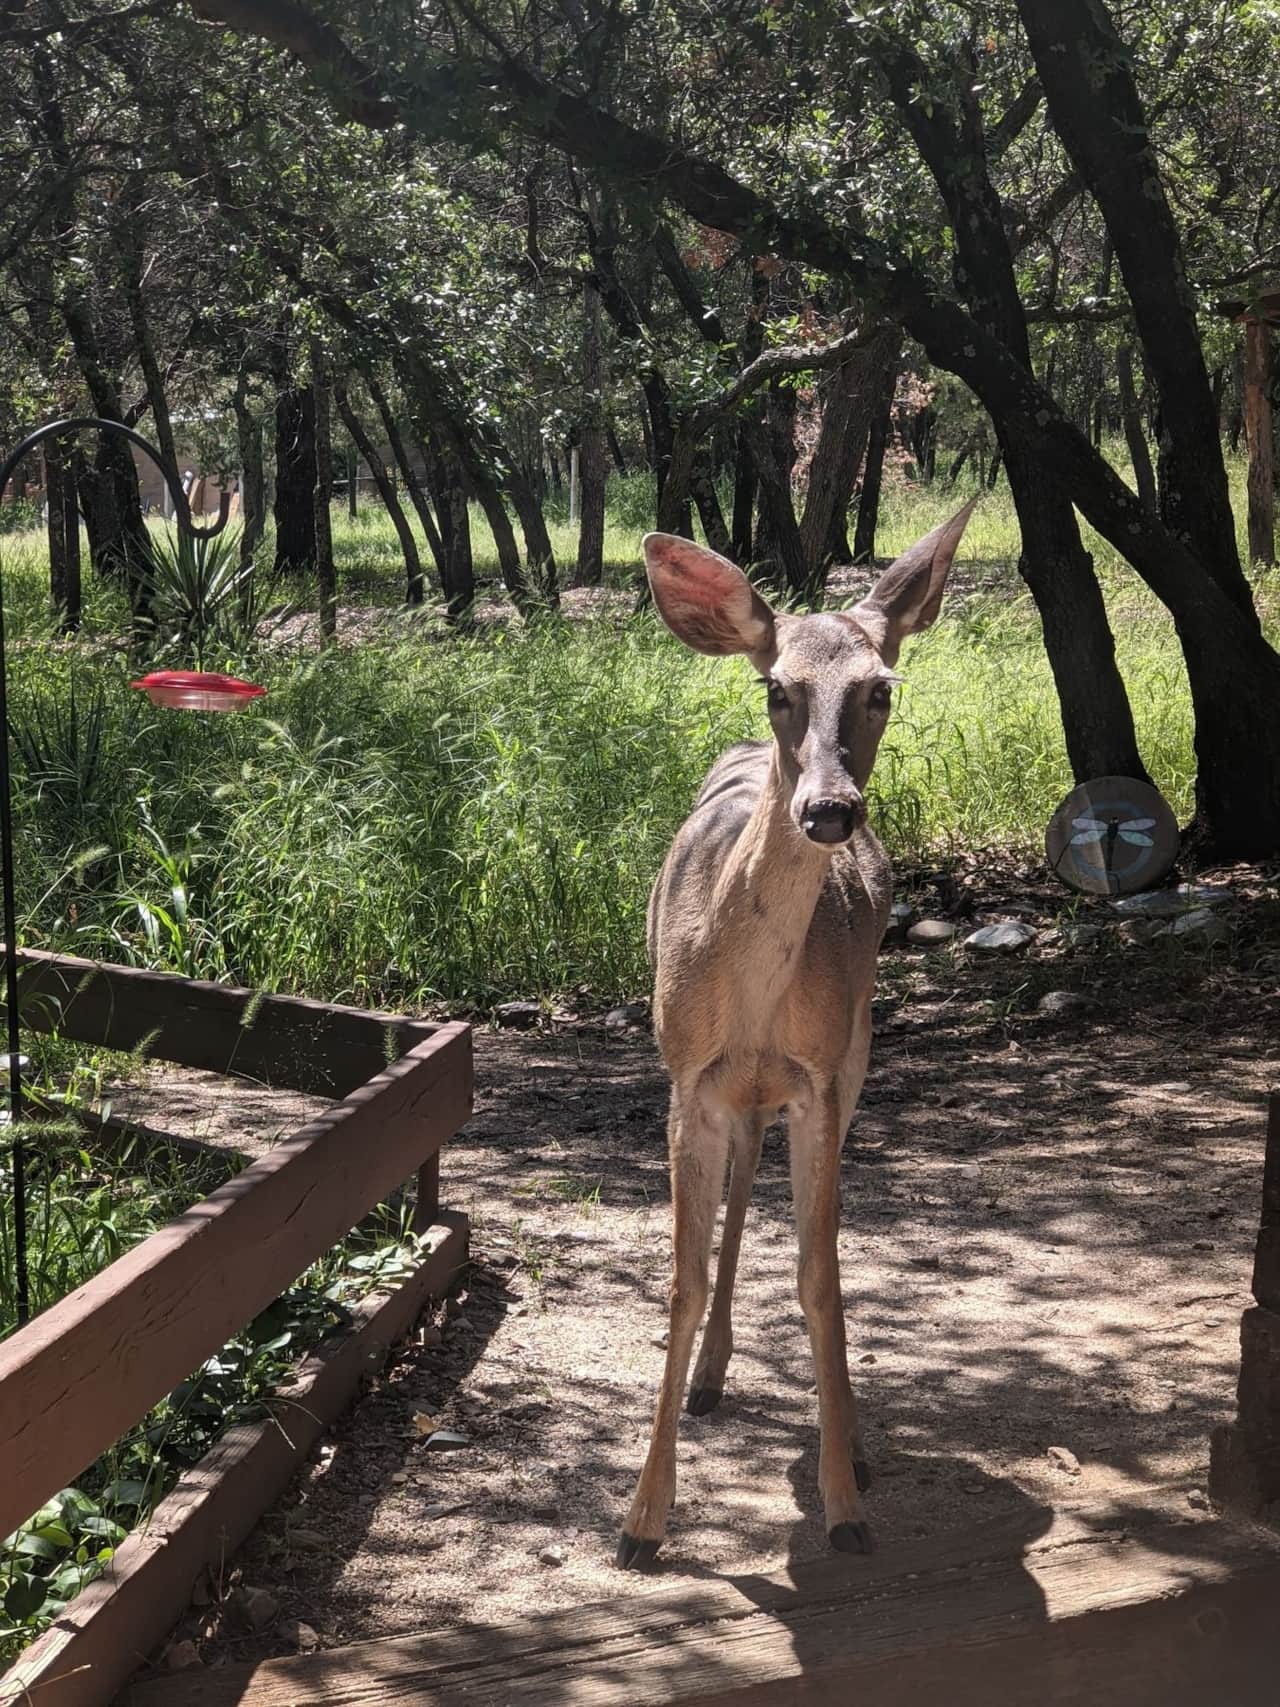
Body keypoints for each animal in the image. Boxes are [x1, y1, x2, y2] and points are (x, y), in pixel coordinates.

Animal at [616, 503, 975, 1571]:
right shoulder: (686, 1075)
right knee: (739, 1193)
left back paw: (846, 1442)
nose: (827, 809)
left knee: (802, 1215)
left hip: (852, 1055)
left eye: (880, 688)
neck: (752, 993)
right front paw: (642, 1521)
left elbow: (823, 1274)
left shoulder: (817, 1074)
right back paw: (710, 1379)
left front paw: (844, 1502)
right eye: (778, 685)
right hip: (737, 1093)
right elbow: (683, 1279)